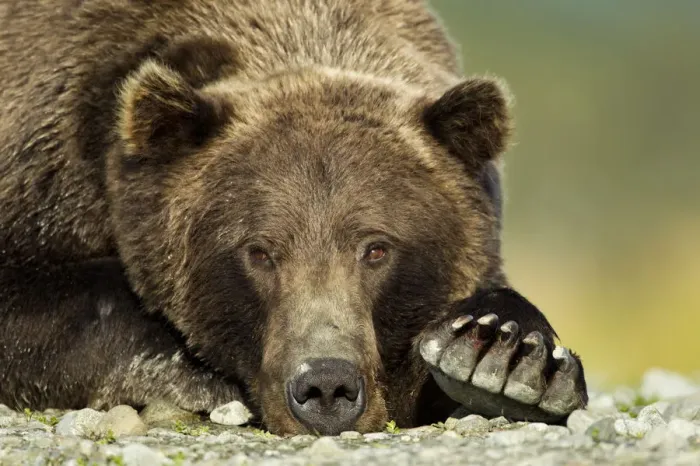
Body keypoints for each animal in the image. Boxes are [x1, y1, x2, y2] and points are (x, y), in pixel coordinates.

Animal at [0, 0, 587, 435]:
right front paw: (195, 377)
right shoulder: (46, 159)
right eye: (259, 251)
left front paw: (503, 357)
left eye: (377, 247)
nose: (325, 386)